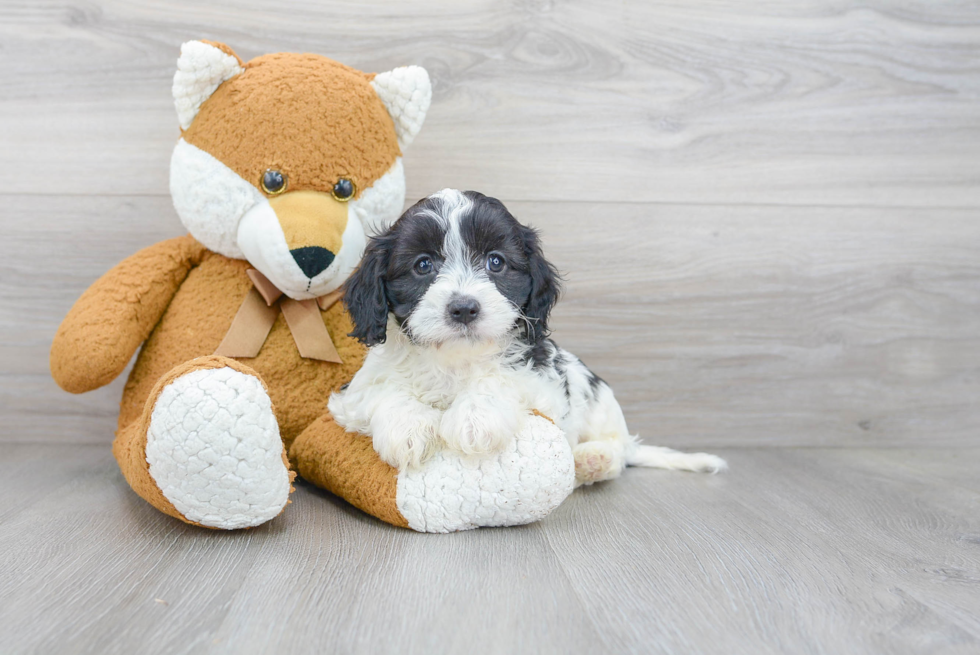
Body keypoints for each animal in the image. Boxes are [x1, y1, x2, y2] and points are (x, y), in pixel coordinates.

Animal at [334, 191, 724, 486]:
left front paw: (474, 418)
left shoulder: (544, 384)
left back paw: (593, 459)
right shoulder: (350, 395)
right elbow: (384, 390)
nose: (464, 308)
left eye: (495, 262)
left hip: (598, 402)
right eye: (423, 265)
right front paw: (409, 428)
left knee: (619, 450)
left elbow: (501, 379)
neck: (454, 361)